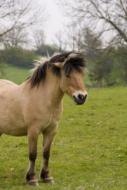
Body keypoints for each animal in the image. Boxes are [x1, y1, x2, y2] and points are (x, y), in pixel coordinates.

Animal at [0, 51, 87, 186]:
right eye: (67, 75)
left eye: (81, 74)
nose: (82, 97)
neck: (44, 99)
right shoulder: (33, 131)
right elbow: (33, 154)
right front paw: (31, 179)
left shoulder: (51, 130)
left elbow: (46, 153)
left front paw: (46, 177)